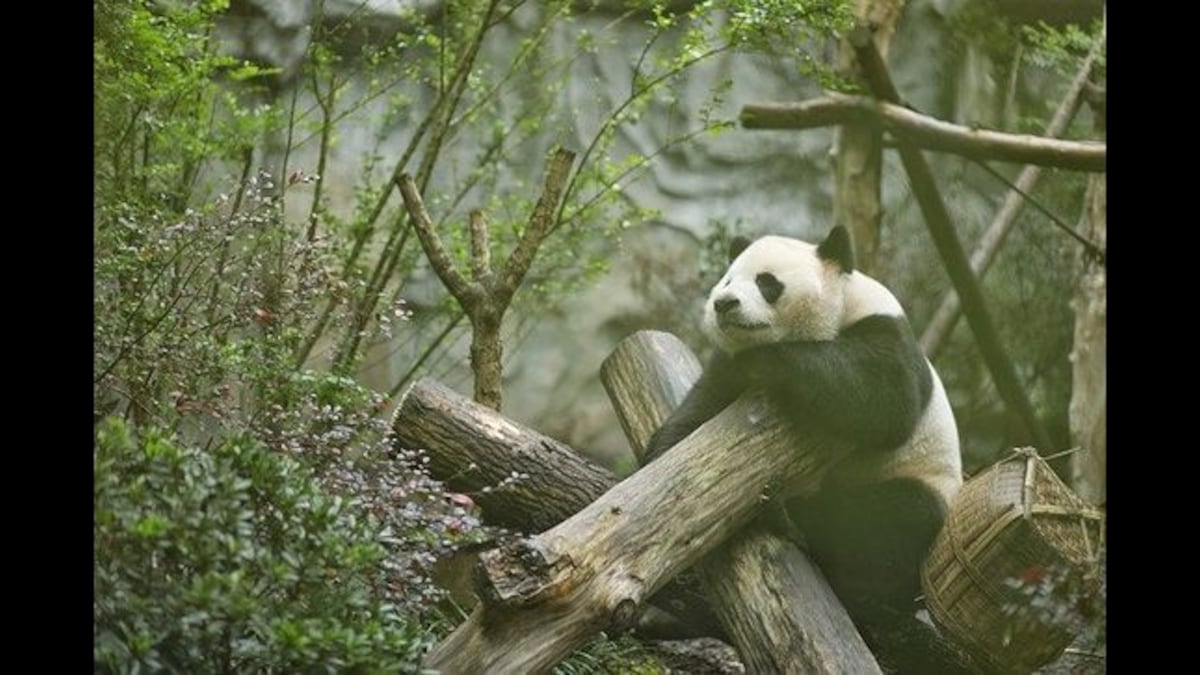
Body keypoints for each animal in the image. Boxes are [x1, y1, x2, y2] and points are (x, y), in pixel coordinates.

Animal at [648, 227, 974, 672]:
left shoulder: (884, 331)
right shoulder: (727, 367)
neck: (833, 317)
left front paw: (771, 361)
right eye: (728, 279)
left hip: (921, 482)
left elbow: (883, 397)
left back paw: (787, 517)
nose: (724, 303)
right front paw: (655, 467)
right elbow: (699, 412)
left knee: (884, 519)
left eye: (767, 282)